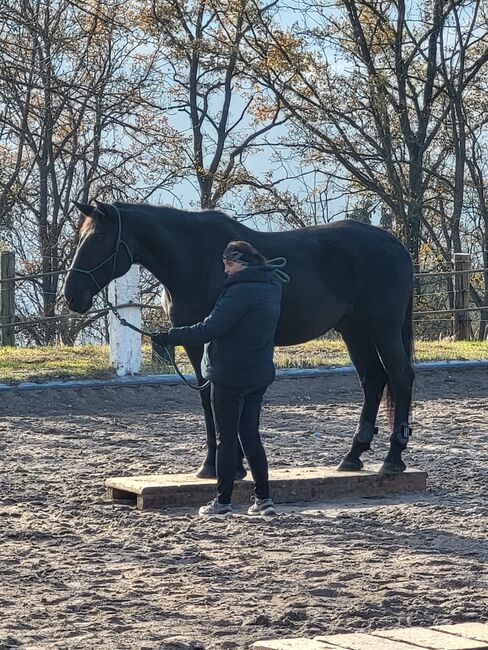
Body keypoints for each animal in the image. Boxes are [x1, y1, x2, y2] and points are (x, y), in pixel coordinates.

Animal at [63, 202, 416, 476]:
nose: (72, 296)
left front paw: (221, 465)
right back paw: (353, 456)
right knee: (373, 380)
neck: (196, 258)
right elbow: (208, 397)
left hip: (383, 330)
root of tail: (397, 246)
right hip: (354, 331)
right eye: (80, 237)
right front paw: (222, 465)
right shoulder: (195, 341)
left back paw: (392, 460)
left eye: (99, 238)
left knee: (400, 378)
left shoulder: (210, 336)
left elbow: (214, 396)